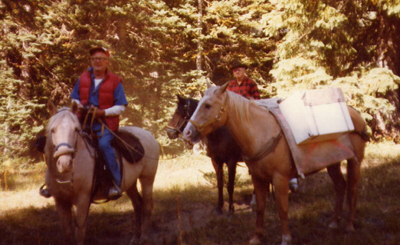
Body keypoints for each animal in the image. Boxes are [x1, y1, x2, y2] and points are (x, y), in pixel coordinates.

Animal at [45, 100, 159, 244]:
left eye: (76, 129)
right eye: (52, 130)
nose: (65, 163)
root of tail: (148, 134)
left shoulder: (83, 200)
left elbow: (79, 233)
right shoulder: (60, 202)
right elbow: (67, 234)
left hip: (147, 180)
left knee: (147, 206)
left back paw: (143, 237)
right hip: (130, 184)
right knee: (137, 204)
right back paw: (135, 238)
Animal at [183, 83, 368, 245]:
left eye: (207, 105)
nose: (187, 133)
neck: (262, 133)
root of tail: (356, 114)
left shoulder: (280, 179)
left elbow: (282, 209)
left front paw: (286, 238)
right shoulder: (258, 178)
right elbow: (260, 207)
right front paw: (257, 237)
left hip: (355, 161)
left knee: (352, 190)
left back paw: (349, 226)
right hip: (333, 163)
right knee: (340, 186)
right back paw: (334, 222)